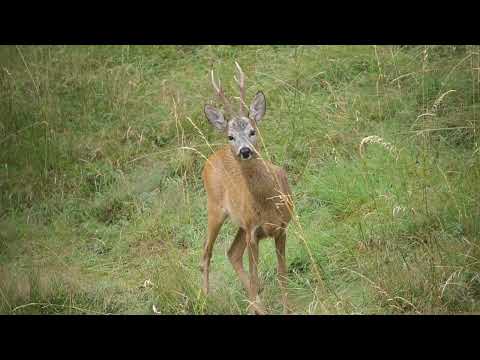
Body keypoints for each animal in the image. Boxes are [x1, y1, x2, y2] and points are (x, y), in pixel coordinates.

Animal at [200, 62, 292, 316]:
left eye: (252, 130)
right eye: (231, 136)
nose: (245, 150)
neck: (269, 203)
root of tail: (213, 157)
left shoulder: (281, 228)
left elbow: (282, 273)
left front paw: (288, 308)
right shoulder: (254, 233)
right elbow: (254, 276)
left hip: (241, 223)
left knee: (232, 253)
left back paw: (256, 303)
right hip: (215, 209)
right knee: (207, 253)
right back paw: (206, 298)